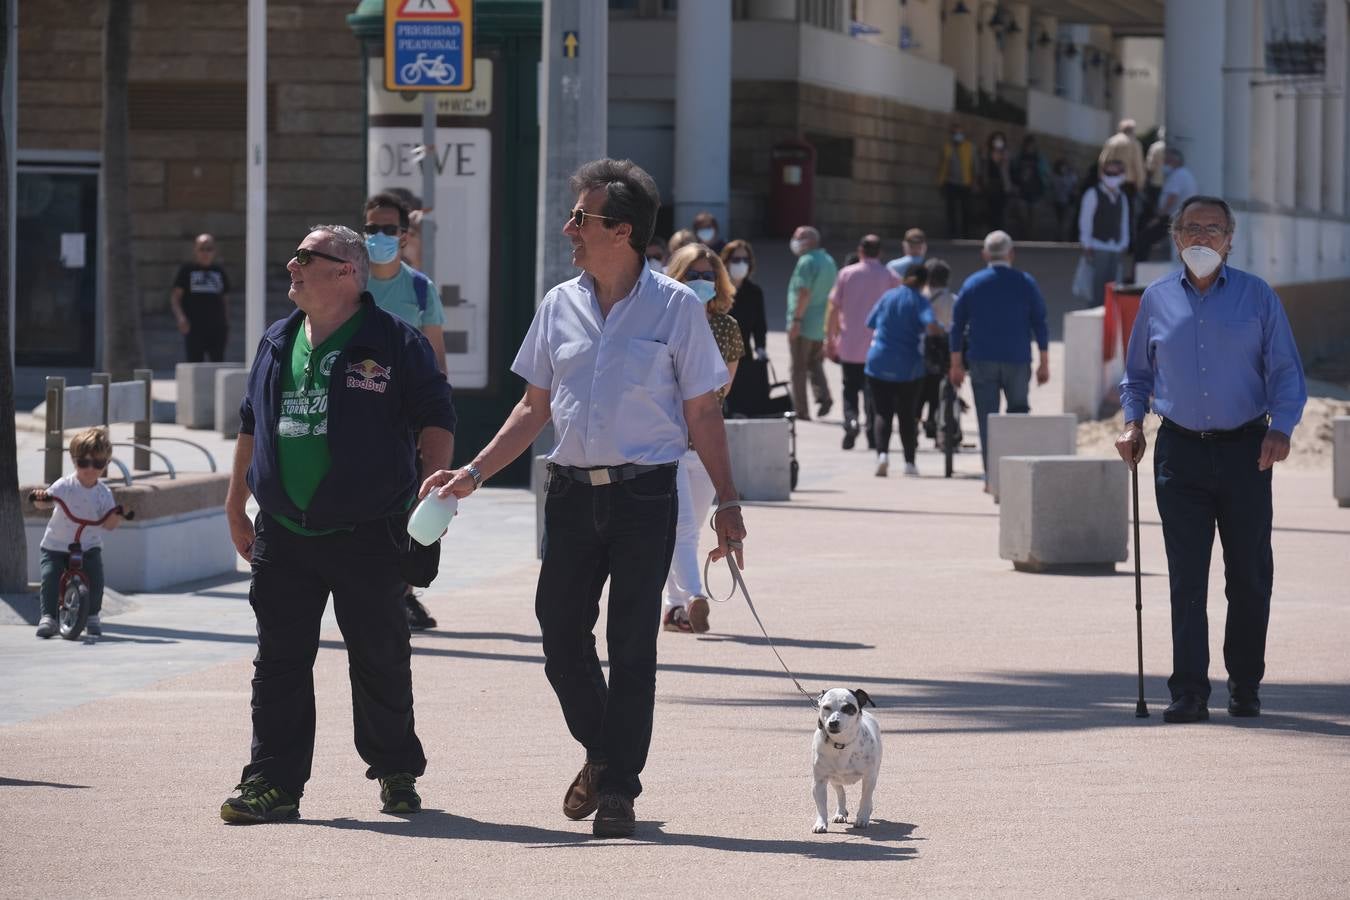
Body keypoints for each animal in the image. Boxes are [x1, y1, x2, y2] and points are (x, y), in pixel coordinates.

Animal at [810, 690, 885, 831]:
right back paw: (840, 813)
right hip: (834, 779)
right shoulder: (819, 782)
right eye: (826, 707)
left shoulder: (869, 777)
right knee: (841, 792)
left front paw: (862, 818)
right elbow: (821, 806)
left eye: (848, 708)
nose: (833, 722)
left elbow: (865, 799)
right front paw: (821, 823)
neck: (841, 744)